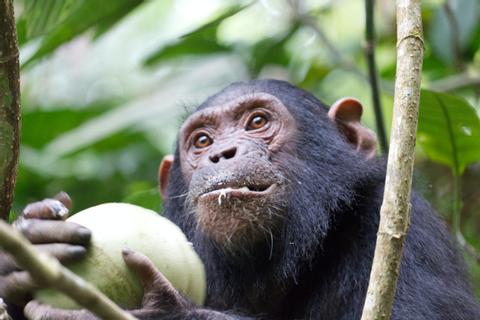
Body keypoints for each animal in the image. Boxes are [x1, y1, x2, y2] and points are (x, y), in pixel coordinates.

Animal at [0, 80, 480, 320]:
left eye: (257, 121)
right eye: (202, 140)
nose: (222, 153)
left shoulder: (399, 232)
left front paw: (165, 312)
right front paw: (32, 242)